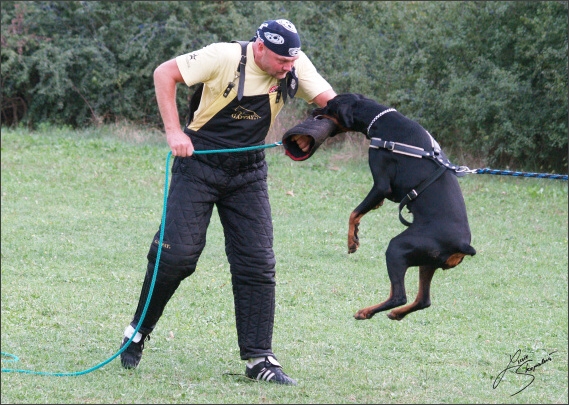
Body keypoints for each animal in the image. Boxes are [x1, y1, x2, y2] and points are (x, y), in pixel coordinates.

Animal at [312, 93, 472, 320]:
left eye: (328, 105)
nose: (313, 111)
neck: (381, 119)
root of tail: (463, 245)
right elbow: (362, 211)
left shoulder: (381, 185)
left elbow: (353, 213)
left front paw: (352, 241)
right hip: (426, 262)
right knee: (423, 300)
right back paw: (396, 314)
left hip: (397, 248)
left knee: (399, 295)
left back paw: (366, 312)